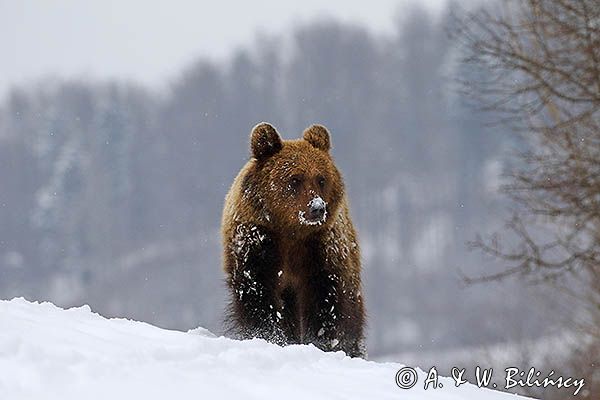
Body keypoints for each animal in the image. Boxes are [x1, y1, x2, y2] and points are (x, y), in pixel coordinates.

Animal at [223, 122, 366, 360]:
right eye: (295, 179)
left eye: (321, 179)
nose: (317, 208)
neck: (291, 232)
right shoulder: (258, 244)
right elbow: (259, 296)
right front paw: (271, 336)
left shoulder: (321, 250)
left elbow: (326, 303)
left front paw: (322, 342)